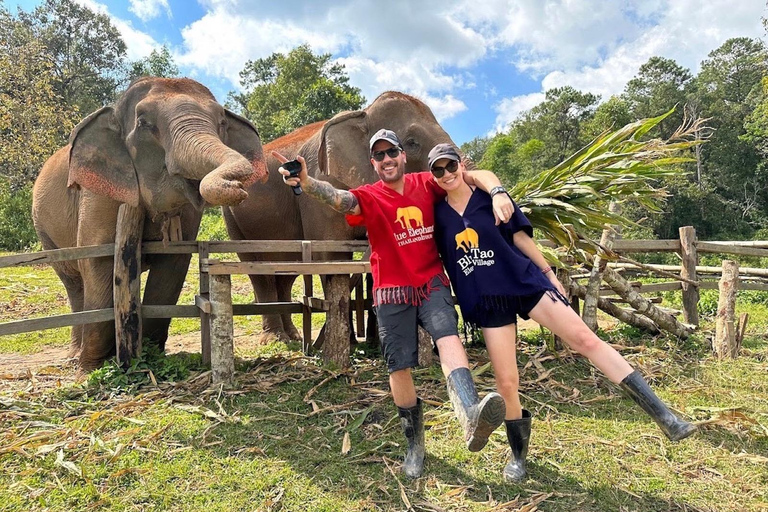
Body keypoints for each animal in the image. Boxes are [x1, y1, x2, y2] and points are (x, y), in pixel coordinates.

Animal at [32, 76, 268, 370]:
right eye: (144, 123)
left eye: (222, 122)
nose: (237, 187)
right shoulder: (100, 193)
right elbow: (99, 261)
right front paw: (90, 369)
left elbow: (172, 265)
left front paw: (150, 355)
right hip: (44, 232)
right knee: (74, 284)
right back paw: (75, 355)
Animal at [220, 90, 462, 342]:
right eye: (412, 142)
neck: (362, 114)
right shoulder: (321, 192)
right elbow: (331, 256)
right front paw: (348, 340)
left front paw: (370, 340)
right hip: (232, 213)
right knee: (256, 267)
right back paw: (277, 339)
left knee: (285, 271)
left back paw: (294, 337)